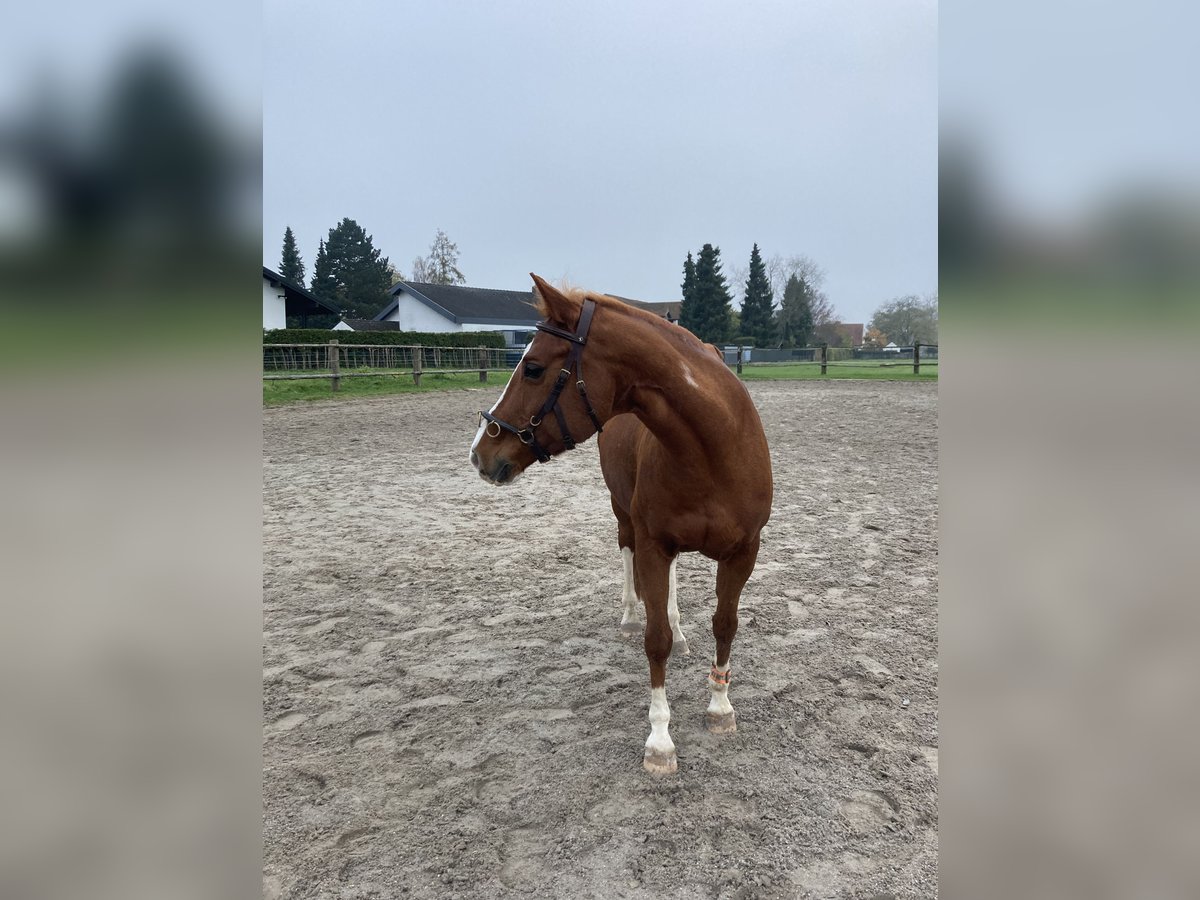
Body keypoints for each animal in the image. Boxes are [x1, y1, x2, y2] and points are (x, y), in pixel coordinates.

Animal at [469, 274, 773, 774]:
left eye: (532, 368)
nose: (481, 452)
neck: (713, 449)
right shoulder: (653, 543)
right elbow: (656, 640)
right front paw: (660, 741)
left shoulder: (743, 552)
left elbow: (725, 625)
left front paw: (720, 707)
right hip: (624, 514)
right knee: (627, 553)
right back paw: (632, 617)